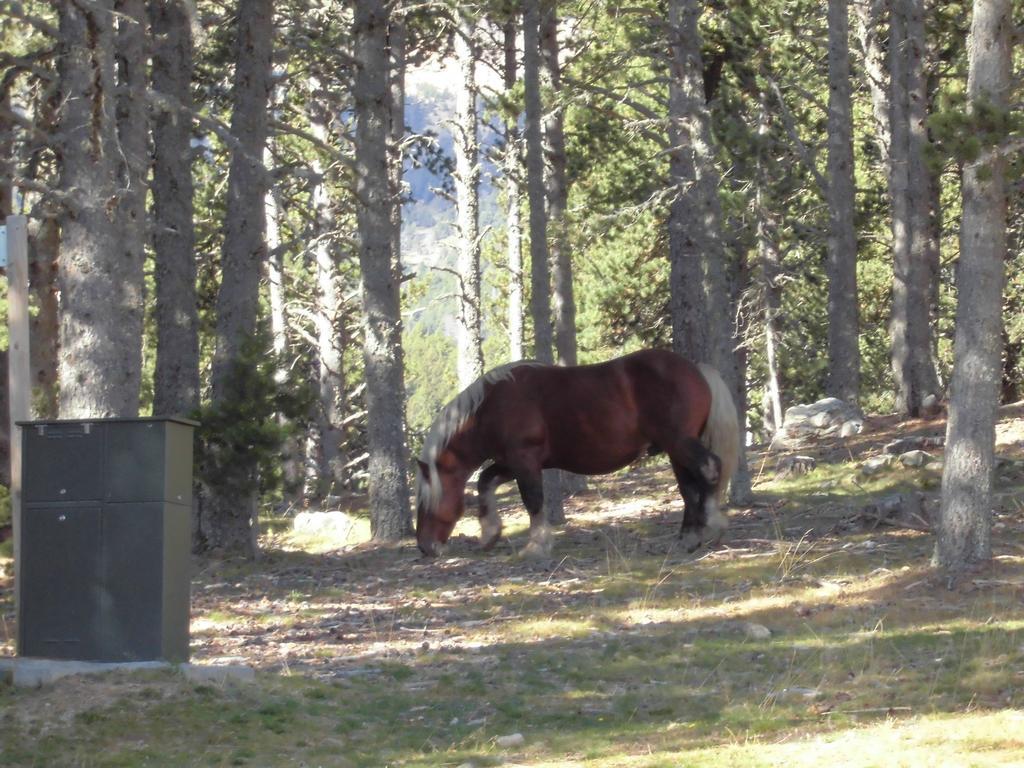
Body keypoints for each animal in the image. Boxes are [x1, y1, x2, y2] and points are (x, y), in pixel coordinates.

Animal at [411, 348, 741, 561]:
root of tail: (696, 368)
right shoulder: (510, 462)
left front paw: (537, 546)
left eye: (424, 502)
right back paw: (688, 539)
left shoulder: (524, 460)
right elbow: (485, 481)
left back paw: (713, 523)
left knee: (710, 468)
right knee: (689, 488)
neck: (493, 405)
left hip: (680, 442)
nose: (424, 547)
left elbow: (532, 501)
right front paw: (490, 532)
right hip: (675, 450)